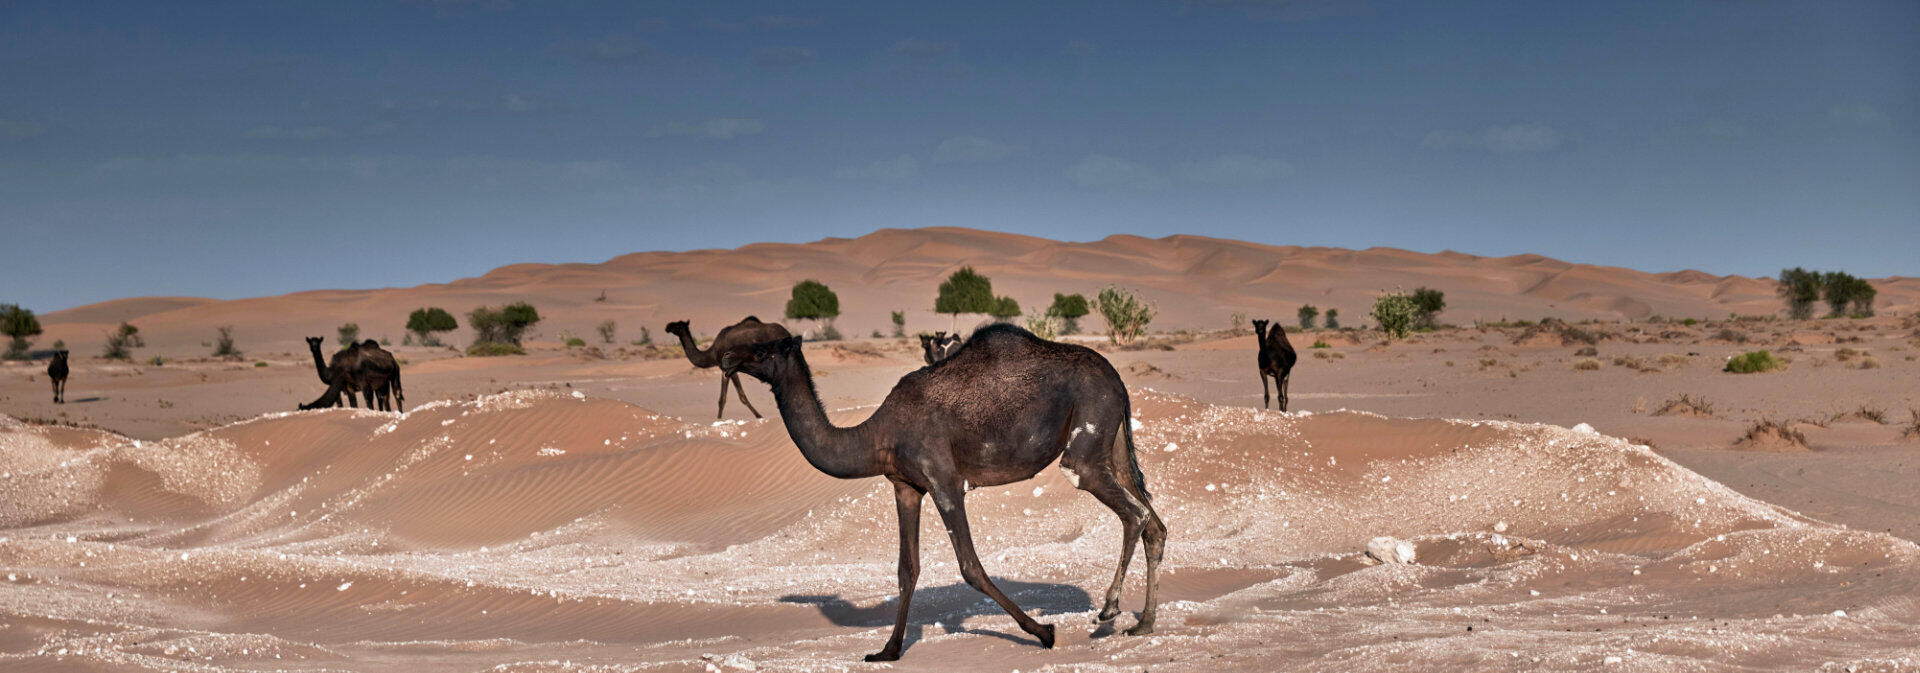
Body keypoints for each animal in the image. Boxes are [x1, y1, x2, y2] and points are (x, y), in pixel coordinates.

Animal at [725, 324, 1166, 661]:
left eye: (762, 349)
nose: (727, 357)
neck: (877, 434)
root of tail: (1117, 378)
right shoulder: (905, 486)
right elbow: (907, 568)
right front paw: (887, 651)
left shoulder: (944, 480)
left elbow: (970, 566)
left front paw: (1044, 632)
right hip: (1113, 442)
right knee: (1154, 524)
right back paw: (1143, 624)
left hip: (1087, 439)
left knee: (1131, 510)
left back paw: (1108, 610)